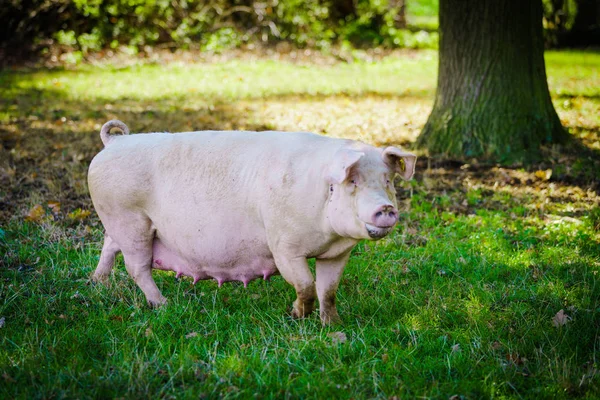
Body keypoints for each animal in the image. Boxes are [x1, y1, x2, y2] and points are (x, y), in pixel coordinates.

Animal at [89, 119, 414, 324]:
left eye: (387, 181)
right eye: (353, 182)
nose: (386, 208)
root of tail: (113, 142)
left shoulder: (336, 254)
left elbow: (329, 290)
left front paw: (333, 324)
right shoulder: (283, 245)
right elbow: (306, 285)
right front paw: (297, 316)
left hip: (120, 223)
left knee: (109, 245)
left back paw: (98, 283)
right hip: (129, 219)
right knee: (136, 267)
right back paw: (163, 305)